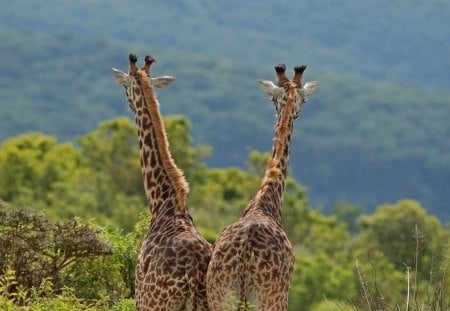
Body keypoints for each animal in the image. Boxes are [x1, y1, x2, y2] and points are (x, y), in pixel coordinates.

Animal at [111, 54, 212, 311]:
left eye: (125, 87)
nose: (128, 103)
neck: (163, 202)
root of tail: (194, 273)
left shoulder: (140, 296)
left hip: (157, 303)